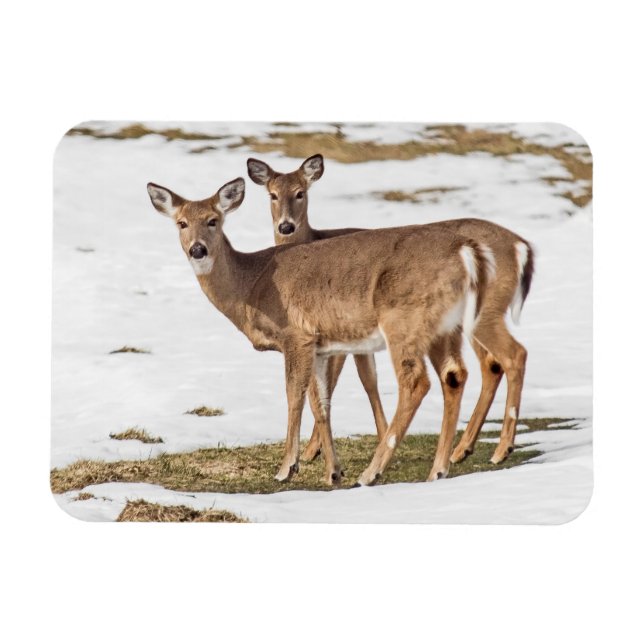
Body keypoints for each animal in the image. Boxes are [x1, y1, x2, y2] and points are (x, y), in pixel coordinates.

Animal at [147, 176, 495, 486]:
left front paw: (287, 468)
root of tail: (465, 253)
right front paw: (332, 472)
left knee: (416, 382)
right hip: (445, 326)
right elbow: (321, 402)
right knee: (454, 374)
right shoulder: (320, 344)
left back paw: (371, 473)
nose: (198, 250)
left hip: (404, 319)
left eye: (213, 220)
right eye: (181, 223)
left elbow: (294, 396)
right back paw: (437, 470)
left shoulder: (296, 335)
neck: (252, 285)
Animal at [247, 154, 534, 470]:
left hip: (482, 312)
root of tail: (521, 246)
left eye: (301, 193)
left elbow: (337, 380)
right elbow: (362, 379)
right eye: (272, 195)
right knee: (489, 364)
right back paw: (463, 449)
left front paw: (316, 450)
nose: (286, 226)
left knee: (508, 356)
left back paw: (497, 449)